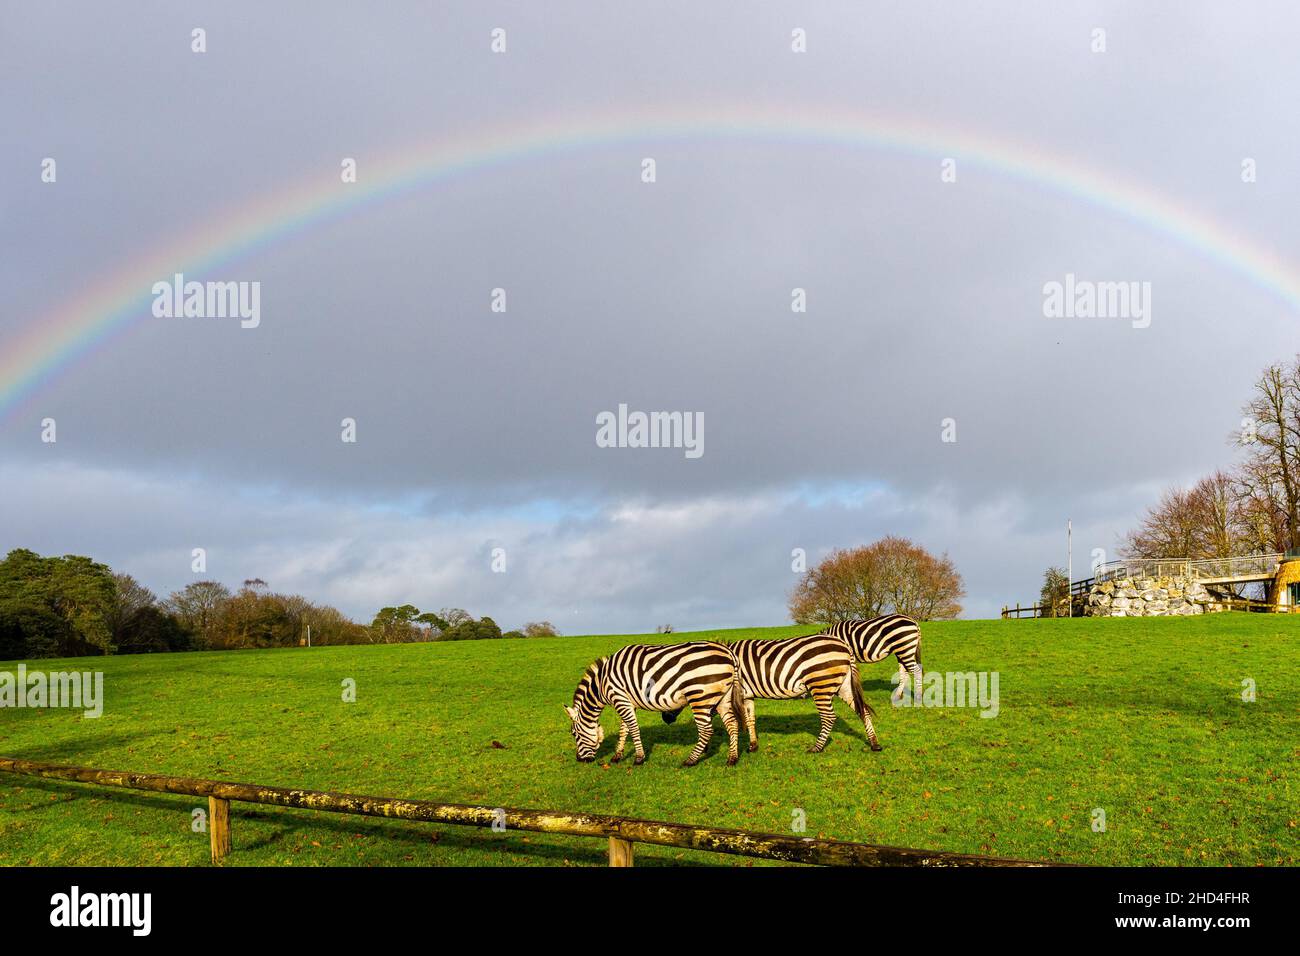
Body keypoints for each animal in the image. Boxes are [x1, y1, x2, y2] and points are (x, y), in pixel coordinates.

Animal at [566, 642, 748, 770]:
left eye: (574, 734)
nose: (579, 760)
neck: (601, 684)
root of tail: (729, 653)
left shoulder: (620, 698)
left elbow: (633, 728)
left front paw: (639, 758)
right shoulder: (626, 701)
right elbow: (624, 729)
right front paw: (617, 756)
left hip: (700, 697)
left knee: (706, 730)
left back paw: (690, 761)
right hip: (723, 697)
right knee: (732, 724)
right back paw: (732, 758)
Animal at [728, 634, 889, 754]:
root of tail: (845, 645)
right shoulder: (747, 695)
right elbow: (750, 719)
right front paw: (753, 746)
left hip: (820, 684)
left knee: (829, 717)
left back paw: (816, 748)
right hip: (844, 685)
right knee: (863, 710)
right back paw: (875, 744)